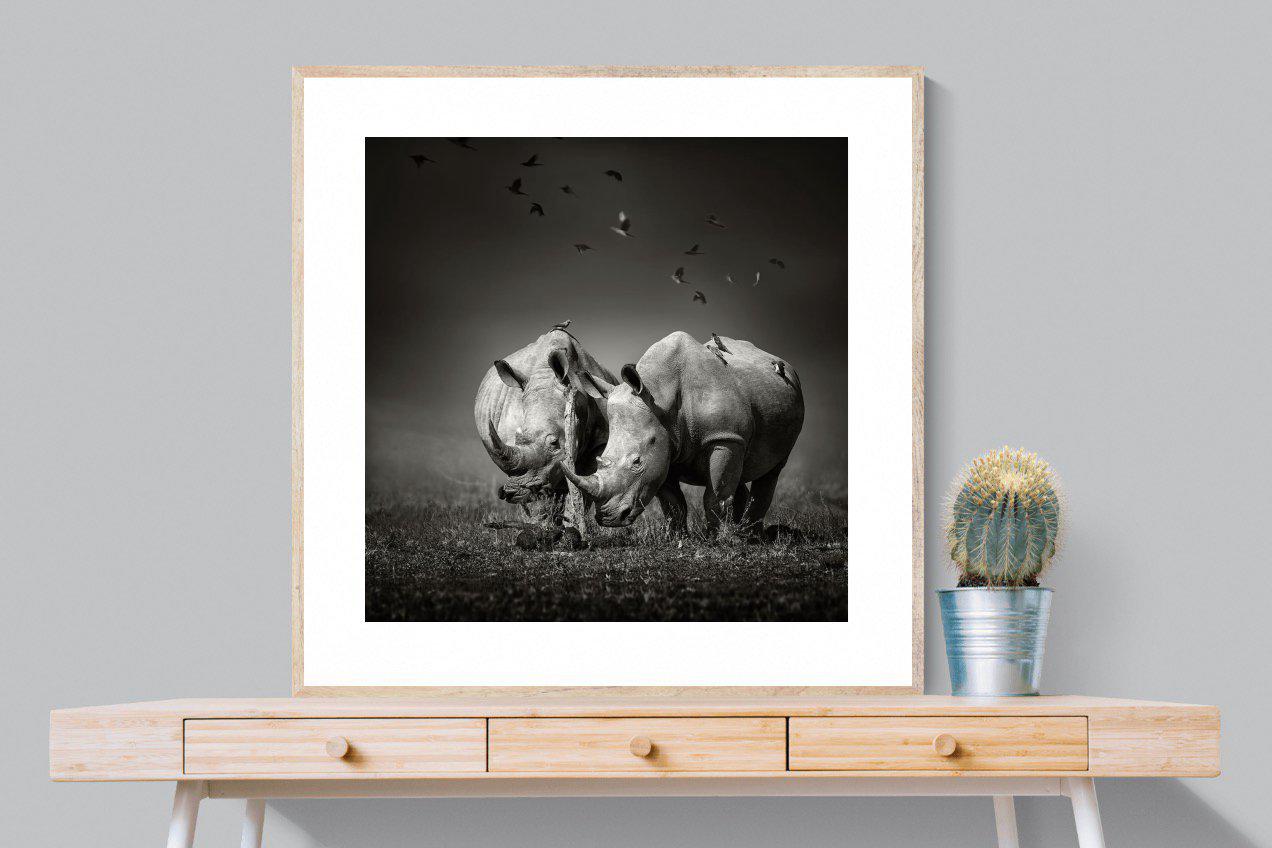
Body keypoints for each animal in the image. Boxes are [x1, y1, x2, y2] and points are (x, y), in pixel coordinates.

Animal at [562, 331, 804, 534]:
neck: (659, 396)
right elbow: (673, 502)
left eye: (637, 462)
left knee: (772, 470)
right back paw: (742, 531)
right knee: (740, 471)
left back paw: (750, 535)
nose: (608, 518)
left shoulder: (724, 437)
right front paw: (677, 537)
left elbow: (715, 495)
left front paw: (718, 539)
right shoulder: (664, 445)